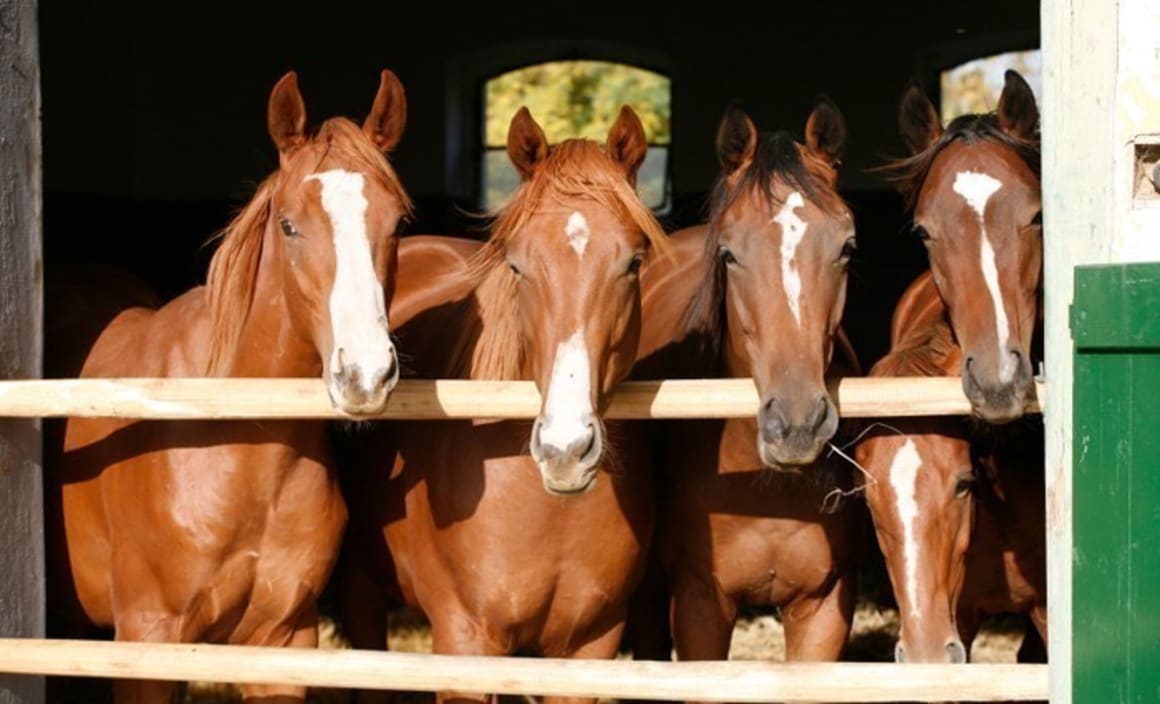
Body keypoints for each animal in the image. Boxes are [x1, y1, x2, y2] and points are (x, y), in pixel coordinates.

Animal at [44, 67, 412, 704]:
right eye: (289, 225)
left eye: (396, 225)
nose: (364, 374)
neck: (238, 442)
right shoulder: (147, 639)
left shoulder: (282, 641)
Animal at [338, 104, 663, 704]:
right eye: (517, 266)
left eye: (632, 263)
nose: (565, 449)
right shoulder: (465, 643)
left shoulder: (590, 647)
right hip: (360, 588)